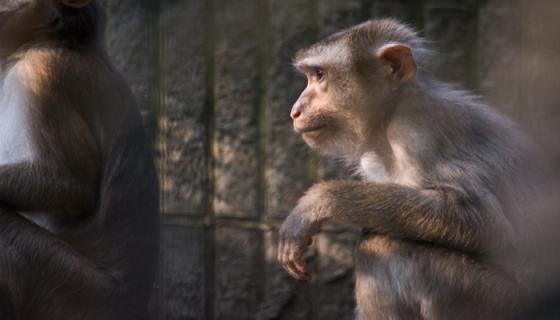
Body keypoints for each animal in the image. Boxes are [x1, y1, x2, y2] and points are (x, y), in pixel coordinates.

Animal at [278, 20, 544, 320]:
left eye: (320, 75)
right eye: (311, 76)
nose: (295, 110)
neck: (391, 116)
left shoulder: (420, 134)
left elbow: (480, 219)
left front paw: (318, 202)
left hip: (494, 299)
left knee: (384, 244)